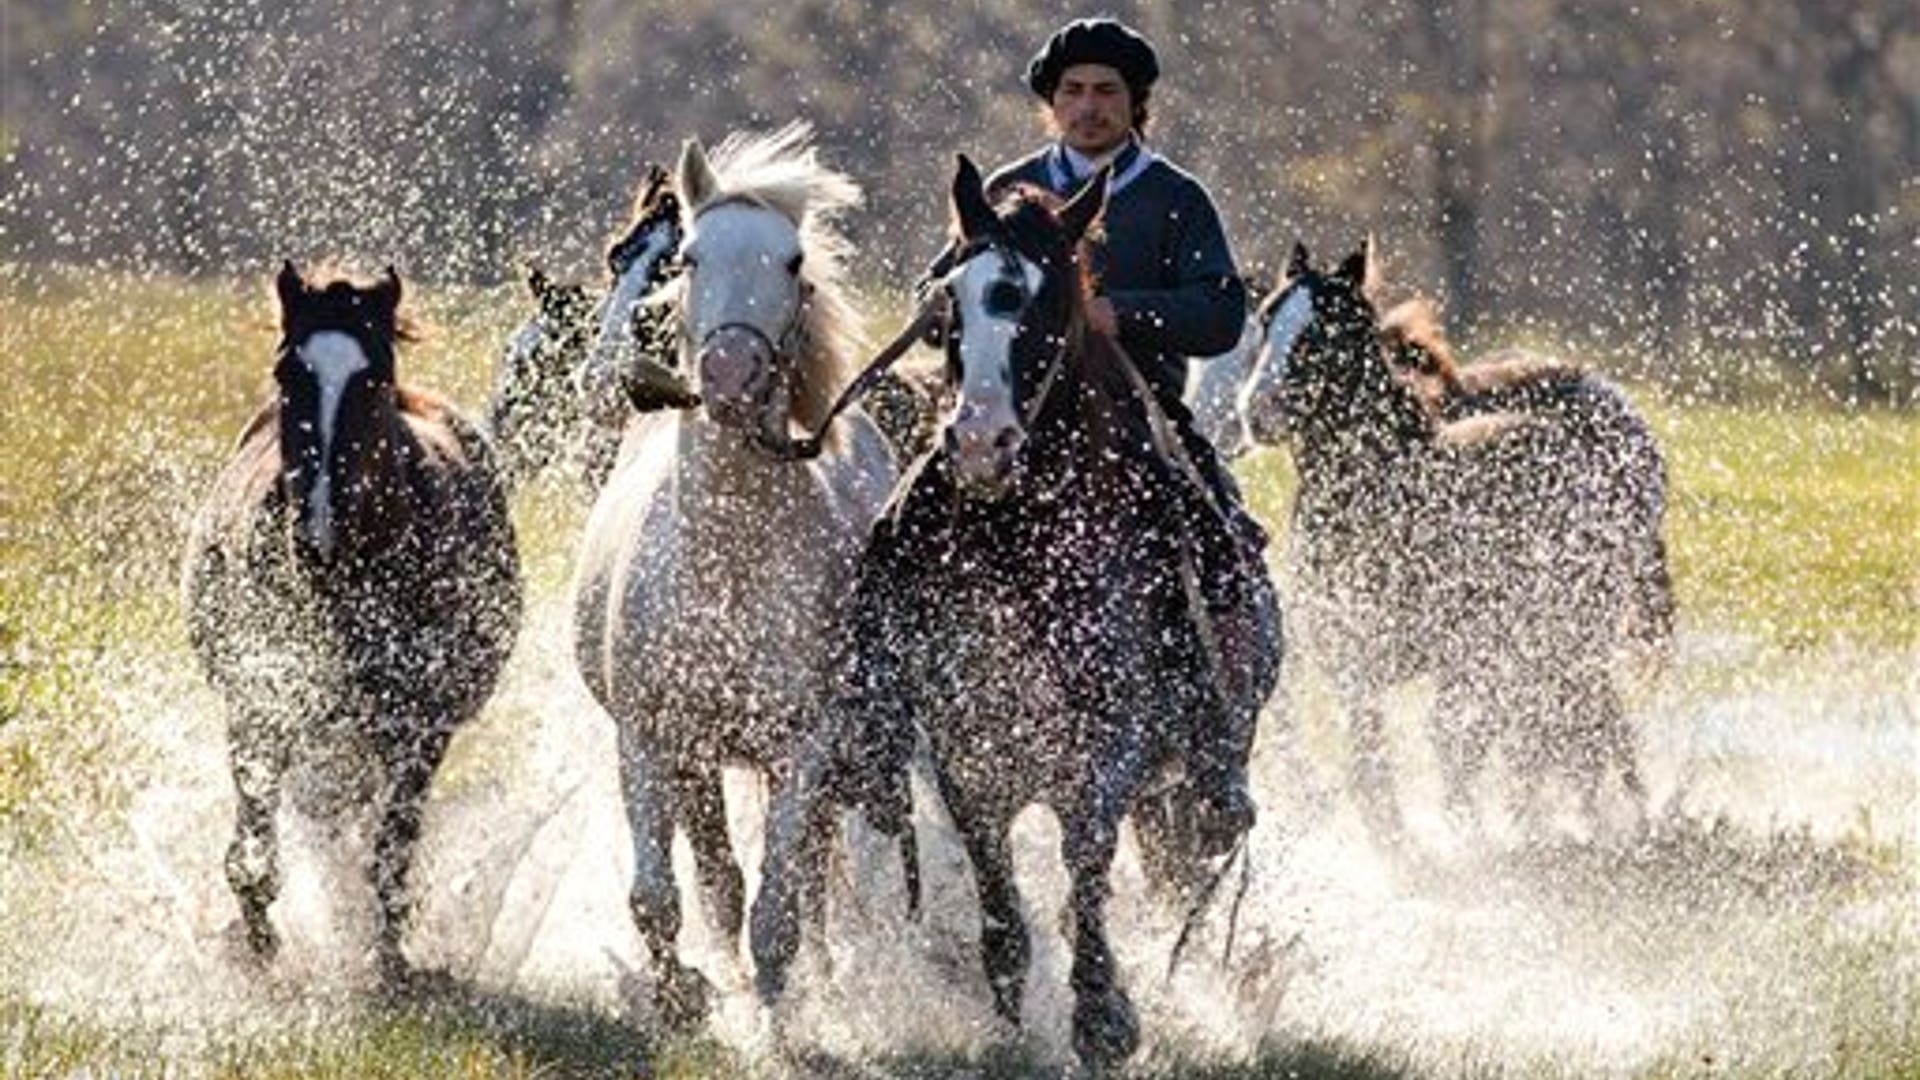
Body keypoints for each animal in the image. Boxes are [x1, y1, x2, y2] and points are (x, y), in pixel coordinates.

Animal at [182, 263, 522, 983]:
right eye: (288, 371)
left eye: (373, 378)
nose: (319, 530)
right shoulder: (259, 705)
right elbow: (253, 850)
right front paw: (260, 949)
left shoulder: (419, 725)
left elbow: (390, 851)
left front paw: (387, 958)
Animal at [570, 123, 897, 1026]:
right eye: (692, 255)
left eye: (792, 262)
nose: (727, 377)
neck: (725, 567)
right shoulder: (651, 740)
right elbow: (661, 896)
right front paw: (682, 994)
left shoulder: (805, 751)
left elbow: (779, 910)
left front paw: (783, 1019)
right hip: (697, 760)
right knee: (716, 871)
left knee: (810, 879)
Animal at [754, 156, 1283, 1067]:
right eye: (949, 306)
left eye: (1046, 305)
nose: (979, 445)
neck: (1024, 549)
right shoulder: (966, 749)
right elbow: (995, 878)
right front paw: (1009, 1005)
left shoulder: (1110, 744)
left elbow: (1084, 855)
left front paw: (1103, 1016)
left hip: (1198, 776)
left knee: (1181, 862)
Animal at [1241, 241, 1670, 840]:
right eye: (1264, 320)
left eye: (1326, 329)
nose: (1255, 412)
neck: (1385, 488)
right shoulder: (1354, 664)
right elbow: (1374, 770)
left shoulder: (1461, 658)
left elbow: (1455, 748)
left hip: (1570, 634)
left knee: (1575, 728)